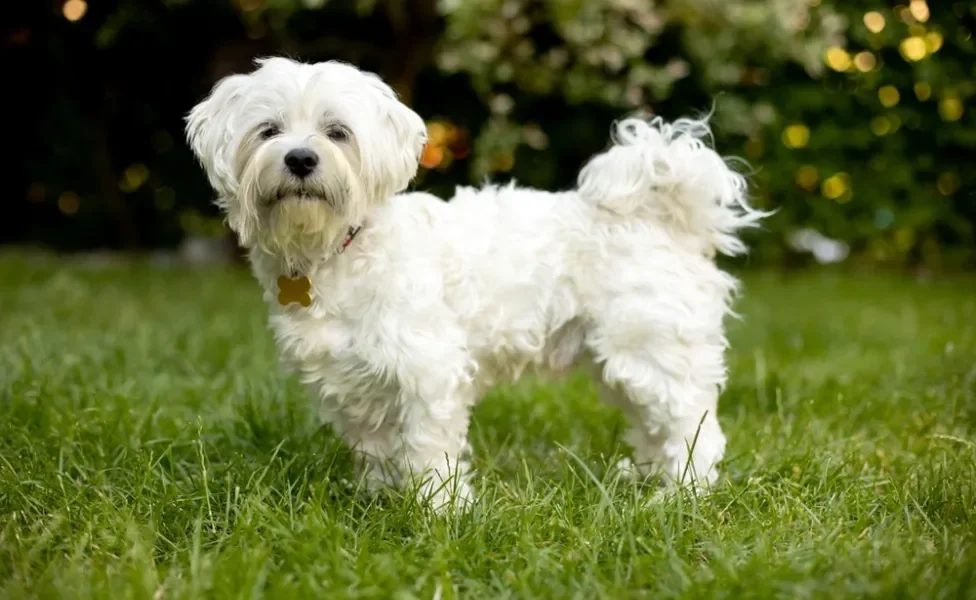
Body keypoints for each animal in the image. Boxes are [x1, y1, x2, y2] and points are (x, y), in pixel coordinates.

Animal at [181, 57, 764, 510]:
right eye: (268, 131)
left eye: (337, 132)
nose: (300, 158)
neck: (336, 250)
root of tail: (664, 217)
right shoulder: (352, 380)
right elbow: (375, 447)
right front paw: (376, 498)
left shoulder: (427, 369)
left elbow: (426, 447)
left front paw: (439, 508)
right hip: (622, 359)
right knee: (654, 426)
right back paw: (645, 477)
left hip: (650, 351)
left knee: (693, 427)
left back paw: (681, 493)